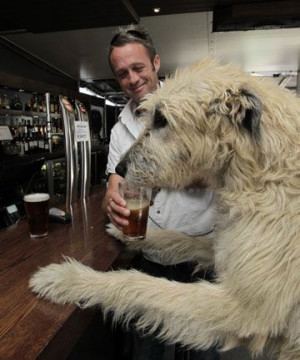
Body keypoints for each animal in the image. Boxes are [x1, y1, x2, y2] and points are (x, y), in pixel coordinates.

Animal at [29, 59, 300, 360]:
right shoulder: (221, 248)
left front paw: (69, 278)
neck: (262, 170)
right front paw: (124, 233)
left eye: (161, 119)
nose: (119, 168)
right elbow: (177, 239)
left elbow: (135, 283)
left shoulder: (243, 309)